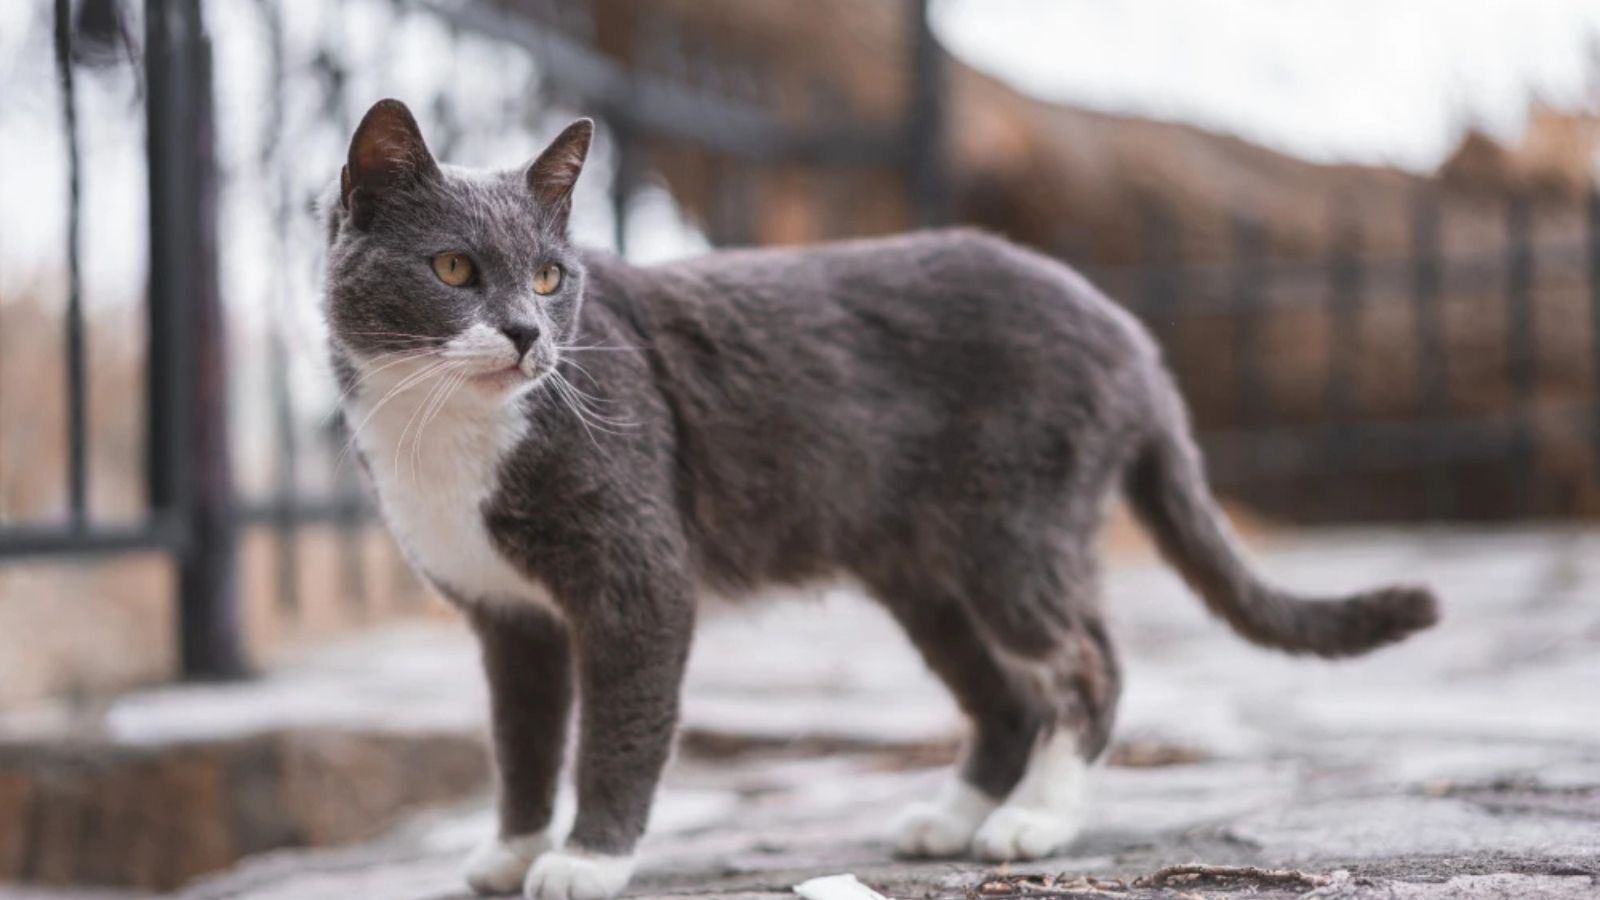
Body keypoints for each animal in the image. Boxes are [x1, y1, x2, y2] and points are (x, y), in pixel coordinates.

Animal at [321, 99, 1440, 896]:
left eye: (553, 279)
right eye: (454, 268)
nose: (526, 334)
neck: (444, 437)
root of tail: (1130, 334)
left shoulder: (638, 580)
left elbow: (619, 729)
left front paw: (588, 861)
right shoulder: (506, 615)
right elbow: (519, 738)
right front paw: (511, 851)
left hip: (1014, 532)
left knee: (1085, 664)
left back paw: (1036, 820)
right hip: (924, 574)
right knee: (1001, 697)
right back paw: (952, 819)